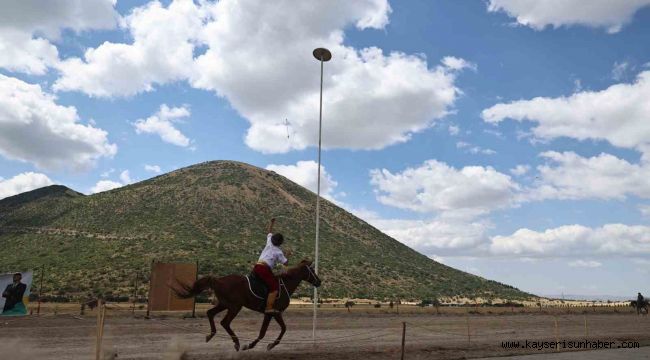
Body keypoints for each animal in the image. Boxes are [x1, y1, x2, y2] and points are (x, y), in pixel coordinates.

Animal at [172, 258, 318, 352]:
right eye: (312, 270)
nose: (319, 281)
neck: (284, 285)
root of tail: (218, 280)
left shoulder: (270, 314)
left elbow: (266, 331)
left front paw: (255, 345)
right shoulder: (274, 313)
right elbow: (280, 329)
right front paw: (263, 345)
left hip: (224, 304)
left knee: (210, 313)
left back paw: (211, 335)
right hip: (234, 307)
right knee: (225, 322)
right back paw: (236, 343)